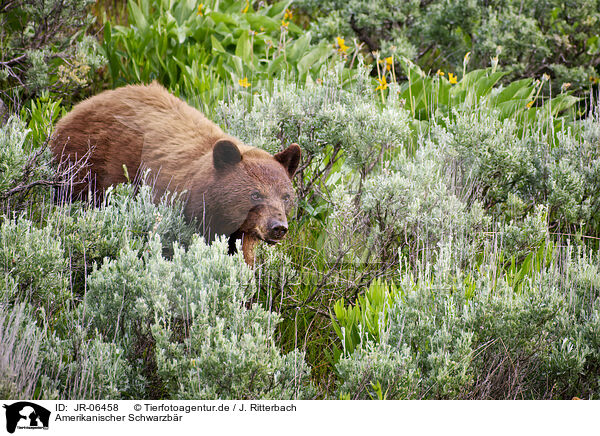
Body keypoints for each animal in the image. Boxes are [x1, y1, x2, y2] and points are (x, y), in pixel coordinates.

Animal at [49, 82, 300, 266]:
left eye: (286, 197)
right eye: (255, 194)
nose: (278, 227)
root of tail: (76, 108)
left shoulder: (238, 235)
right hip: (80, 165)